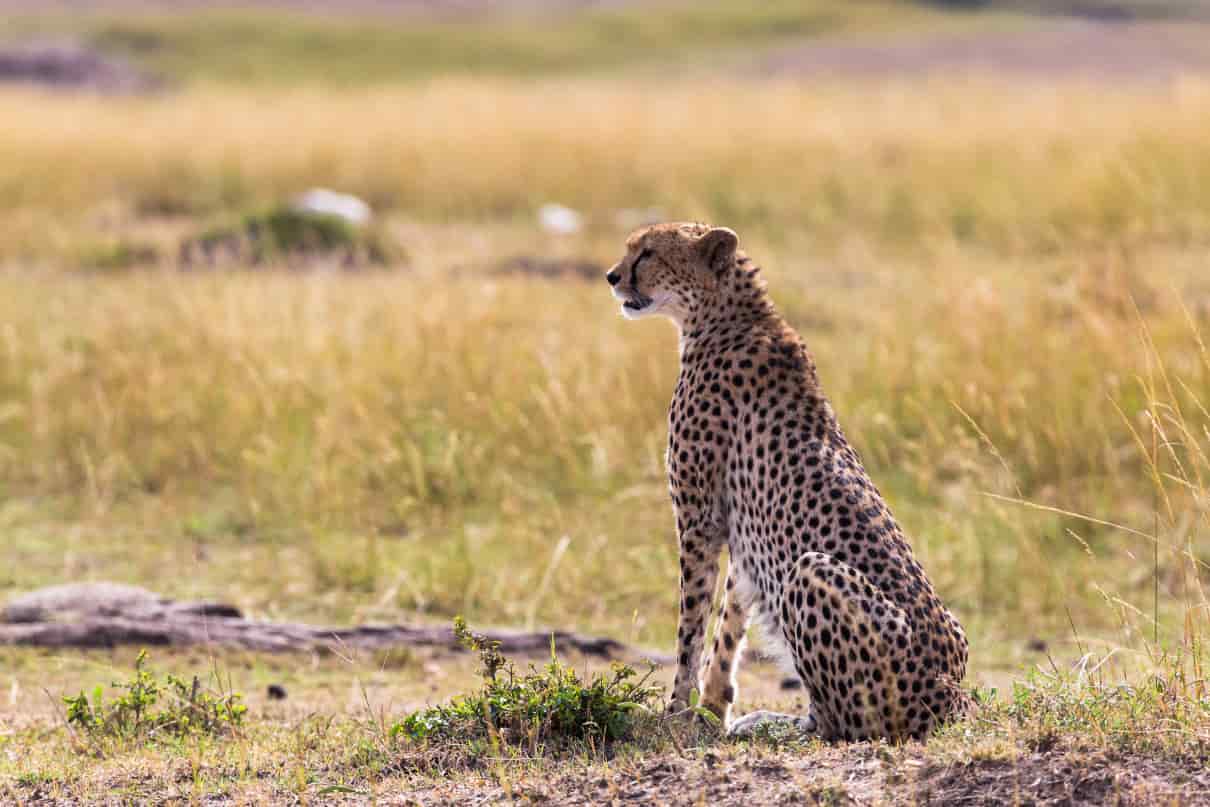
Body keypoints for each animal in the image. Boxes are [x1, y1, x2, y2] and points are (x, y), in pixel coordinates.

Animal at [605, 222, 970, 742]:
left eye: (648, 253)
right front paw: (710, 710)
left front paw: (674, 711)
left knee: (844, 724)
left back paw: (781, 724)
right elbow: (729, 622)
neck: (724, 314)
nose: (612, 276)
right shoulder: (742, 532)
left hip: (811, 569)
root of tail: (950, 696)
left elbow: (690, 625)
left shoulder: (698, 521)